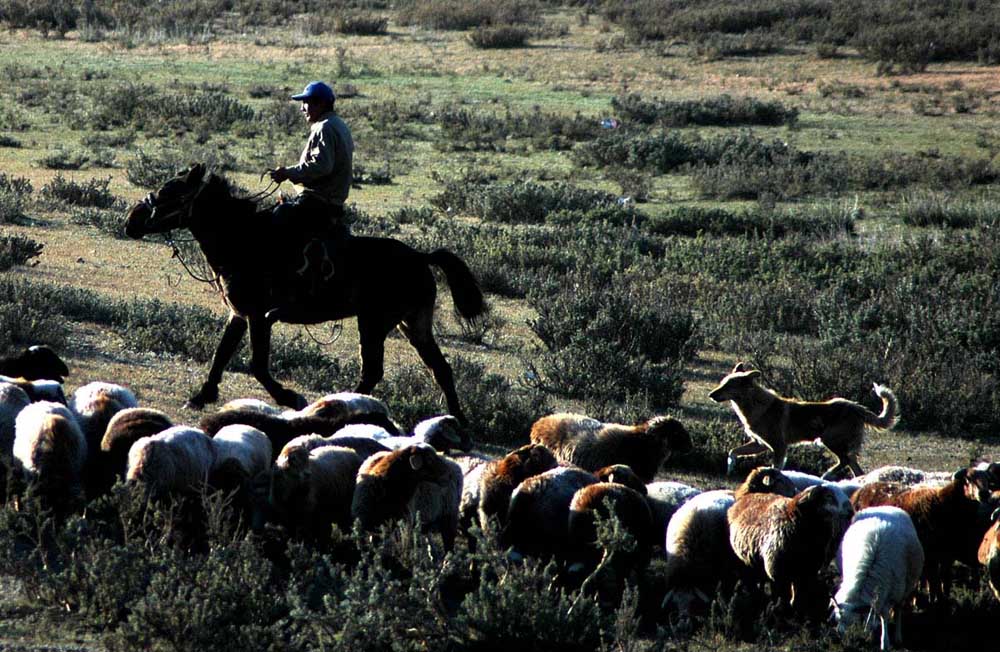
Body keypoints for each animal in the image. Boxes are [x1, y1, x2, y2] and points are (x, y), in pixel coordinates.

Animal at [125, 163, 484, 422]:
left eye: (169, 191)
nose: (131, 220)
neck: (242, 240)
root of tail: (421, 257)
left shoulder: (258, 315)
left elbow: (257, 364)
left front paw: (290, 397)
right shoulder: (238, 313)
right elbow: (221, 354)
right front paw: (201, 396)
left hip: (374, 322)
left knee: (373, 371)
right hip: (413, 324)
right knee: (440, 369)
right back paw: (461, 427)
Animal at [712, 364, 900, 482]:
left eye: (729, 385)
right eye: (722, 383)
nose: (710, 395)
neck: (756, 405)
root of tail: (856, 407)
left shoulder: (779, 447)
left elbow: (775, 469)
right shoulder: (759, 445)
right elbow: (732, 452)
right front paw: (730, 468)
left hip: (830, 440)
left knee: (844, 461)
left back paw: (826, 475)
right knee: (855, 468)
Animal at [832, 506, 924, 648]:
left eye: (853, 624)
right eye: (838, 619)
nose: (842, 640)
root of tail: (885, 506)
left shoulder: (892, 593)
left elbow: (884, 616)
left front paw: (885, 642)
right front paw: (871, 633)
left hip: (904, 587)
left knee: (898, 609)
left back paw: (897, 636)